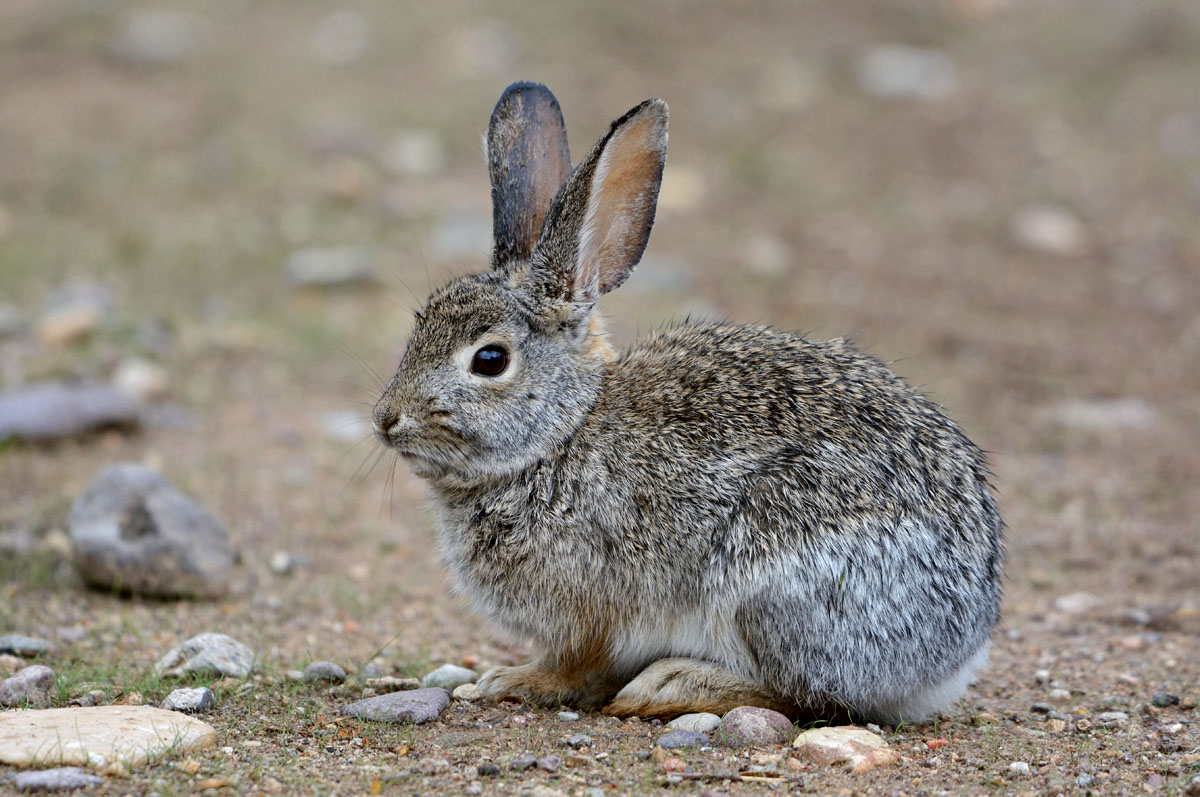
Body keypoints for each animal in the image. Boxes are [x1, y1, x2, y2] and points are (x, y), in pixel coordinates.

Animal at [372, 81, 1003, 720]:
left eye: (490, 360)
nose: (386, 419)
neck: (563, 431)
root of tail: (955, 653)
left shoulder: (593, 612)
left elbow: (575, 667)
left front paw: (512, 680)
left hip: (773, 589)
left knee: (805, 695)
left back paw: (668, 685)